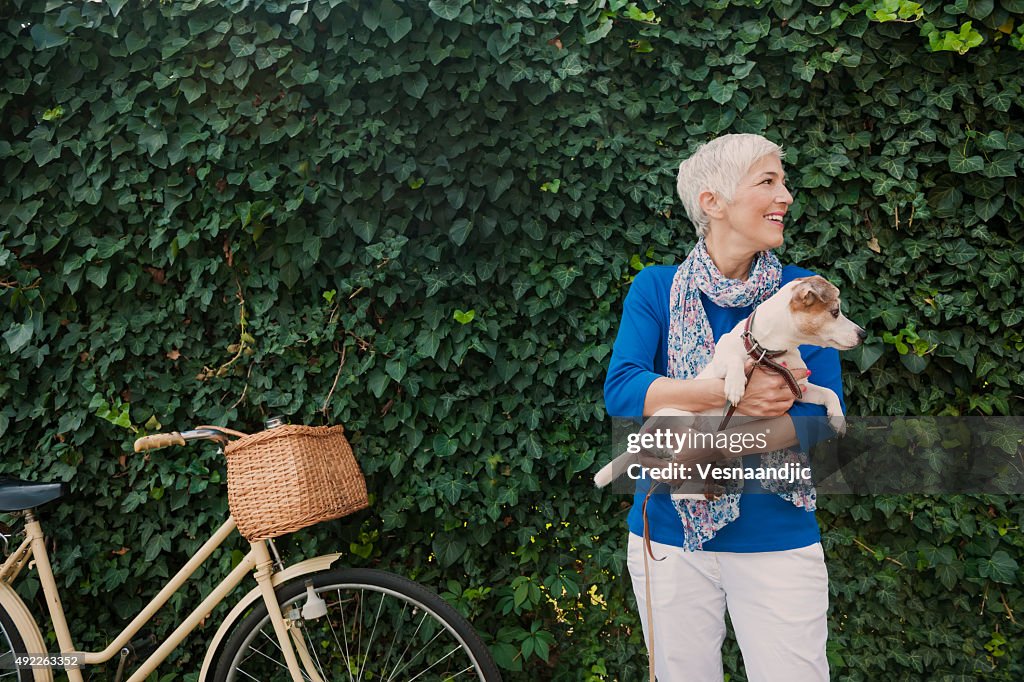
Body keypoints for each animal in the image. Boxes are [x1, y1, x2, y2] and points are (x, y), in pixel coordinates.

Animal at [593, 274, 864, 493]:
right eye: (835, 312)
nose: (863, 334)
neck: (767, 352)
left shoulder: (798, 388)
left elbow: (828, 392)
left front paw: (837, 418)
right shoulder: (723, 361)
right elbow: (733, 360)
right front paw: (735, 386)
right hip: (672, 414)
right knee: (647, 441)